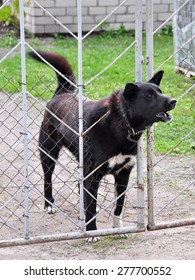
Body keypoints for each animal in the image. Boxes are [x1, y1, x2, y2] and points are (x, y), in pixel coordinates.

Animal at [28, 51, 177, 242]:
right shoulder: (93, 175)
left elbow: (118, 206)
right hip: (49, 152)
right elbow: (91, 207)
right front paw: (92, 232)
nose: (173, 101)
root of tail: (62, 93)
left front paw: (118, 229)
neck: (122, 123)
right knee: (48, 179)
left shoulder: (123, 174)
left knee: (81, 188)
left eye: (160, 91)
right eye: (149, 95)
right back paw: (49, 205)